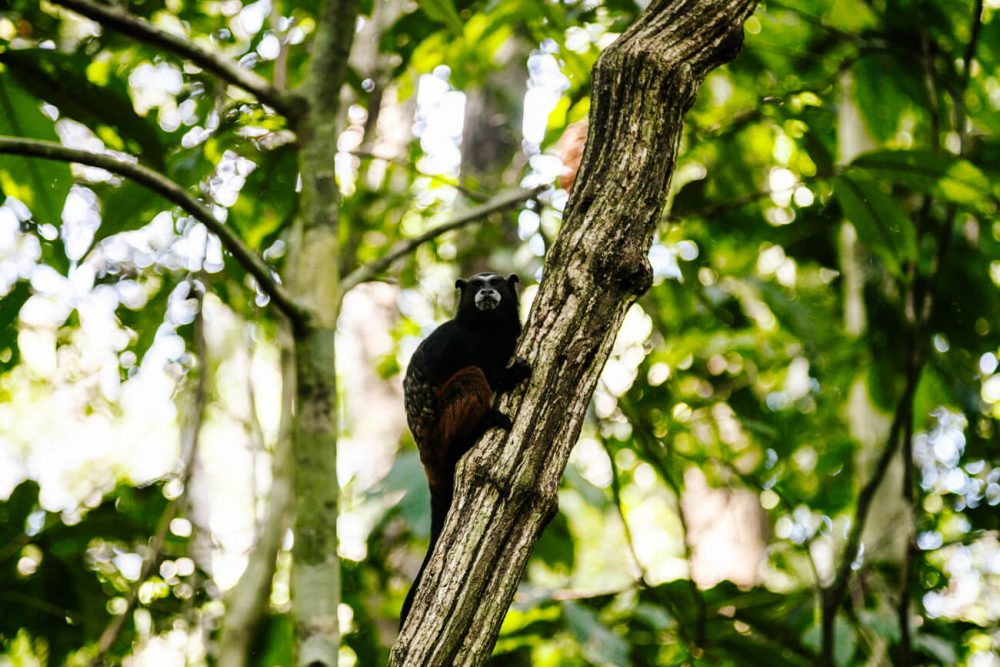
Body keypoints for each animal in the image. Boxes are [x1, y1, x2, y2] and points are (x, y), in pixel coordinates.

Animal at [400, 272, 532, 628]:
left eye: (496, 283)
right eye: (476, 284)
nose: (485, 291)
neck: (488, 328)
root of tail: (426, 455)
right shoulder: (465, 341)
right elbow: (492, 374)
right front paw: (512, 374)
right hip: (440, 429)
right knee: (472, 376)